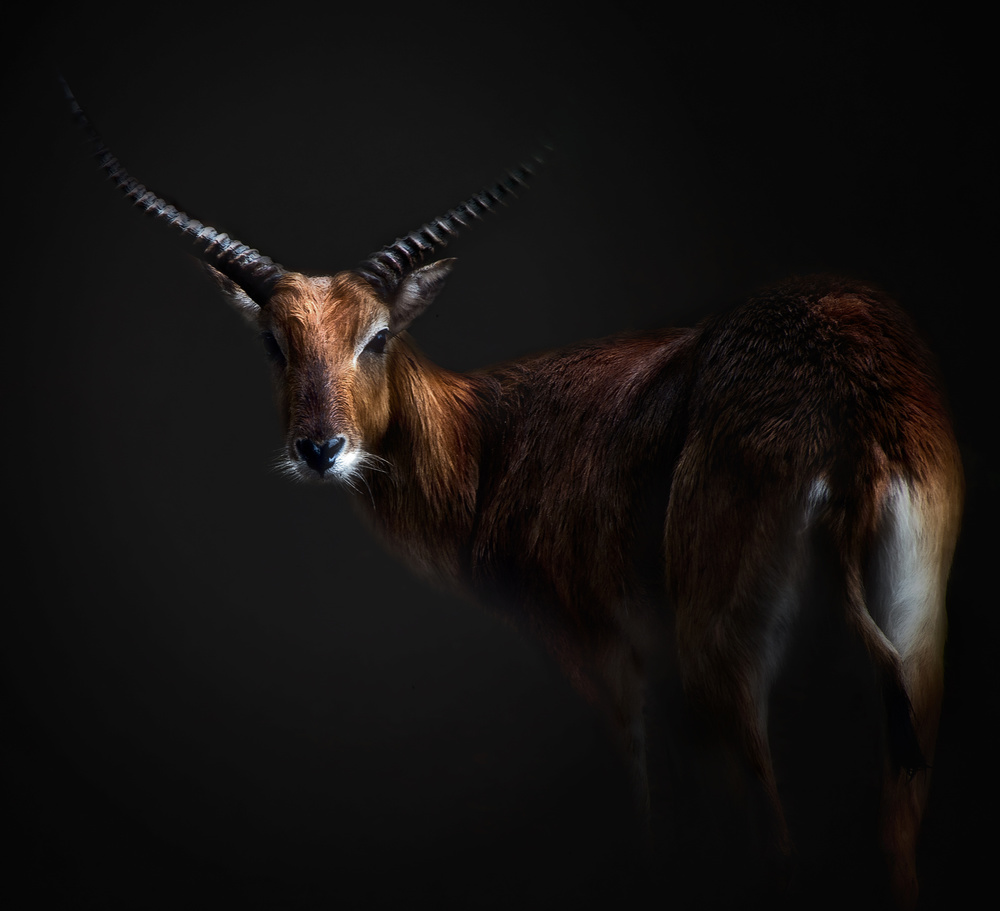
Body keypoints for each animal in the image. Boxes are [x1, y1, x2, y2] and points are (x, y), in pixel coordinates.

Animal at [64, 78, 963, 908]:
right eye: (272, 342)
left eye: (377, 335)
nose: (321, 448)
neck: (490, 446)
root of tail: (855, 415)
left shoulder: (611, 662)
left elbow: (653, 821)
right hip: (910, 661)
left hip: (727, 669)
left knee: (778, 849)